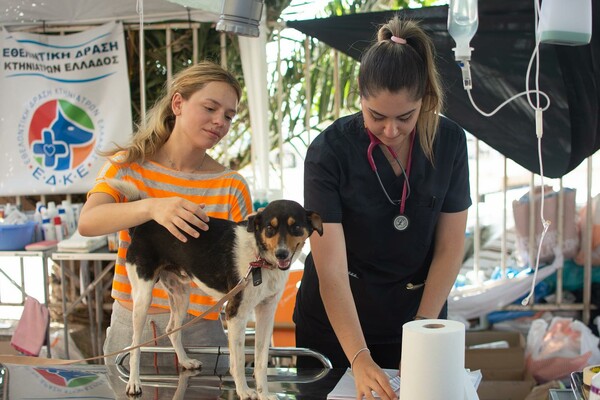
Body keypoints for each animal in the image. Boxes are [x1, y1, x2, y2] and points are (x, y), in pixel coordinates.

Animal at [108, 180, 324, 398]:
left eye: (295, 227)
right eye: (270, 228)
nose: (281, 254)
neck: (260, 258)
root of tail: (142, 226)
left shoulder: (266, 311)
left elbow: (261, 361)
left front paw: (264, 393)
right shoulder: (235, 313)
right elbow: (238, 361)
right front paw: (244, 391)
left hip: (181, 294)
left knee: (171, 330)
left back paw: (185, 361)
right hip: (143, 297)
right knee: (134, 345)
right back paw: (134, 382)